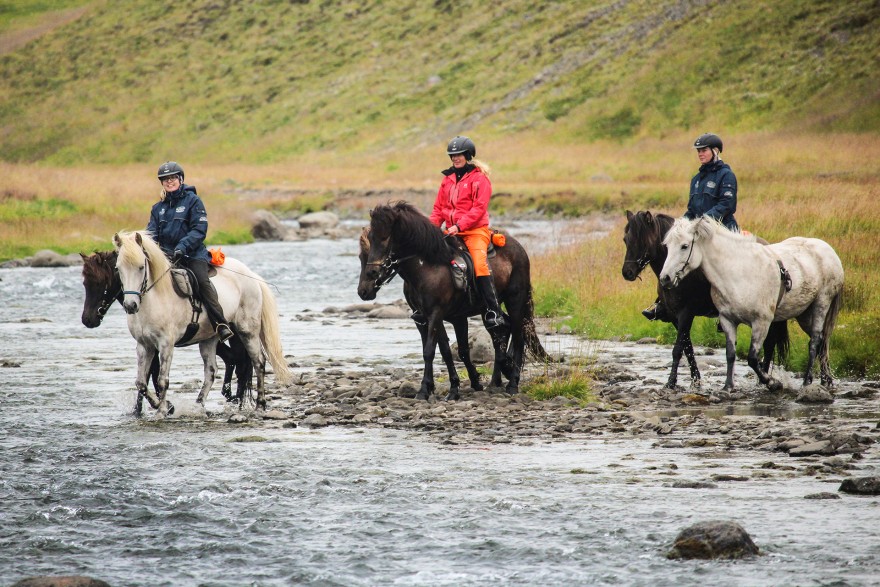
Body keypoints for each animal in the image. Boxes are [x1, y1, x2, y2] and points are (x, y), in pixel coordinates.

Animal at [80, 250, 253, 414]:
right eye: (85, 283)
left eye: (100, 283)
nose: (87, 320)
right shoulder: (149, 344)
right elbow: (147, 375)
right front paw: (142, 408)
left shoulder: (160, 345)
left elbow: (153, 374)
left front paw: (163, 405)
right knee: (232, 359)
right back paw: (230, 396)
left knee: (241, 363)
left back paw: (236, 401)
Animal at [113, 231, 291, 415]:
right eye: (118, 268)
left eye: (141, 267)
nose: (130, 305)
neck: (156, 299)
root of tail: (251, 275)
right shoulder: (144, 346)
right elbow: (141, 383)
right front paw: (162, 405)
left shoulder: (166, 344)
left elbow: (163, 380)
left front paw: (162, 410)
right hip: (209, 338)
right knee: (211, 371)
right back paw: (198, 405)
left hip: (247, 331)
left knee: (258, 362)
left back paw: (260, 404)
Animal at [357, 202, 548, 400]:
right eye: (361, 256)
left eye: (385, 237)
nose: (364, 289)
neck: (427, 267)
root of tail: (520, 249)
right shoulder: (426, 318)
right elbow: (449, 351)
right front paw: (461, 385)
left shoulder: (437, 314)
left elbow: (431, 351)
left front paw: (425, 390)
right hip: (487, 311)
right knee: (501, 333)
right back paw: (496, 380)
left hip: (515, 301)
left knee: (518, 337)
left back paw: (512, 383)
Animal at [621, 210, 788, 390]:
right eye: (626, 240)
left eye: (642, 240)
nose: (627, 272)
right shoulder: (675, 316)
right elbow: (687, 347)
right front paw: (696, 379)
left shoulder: (685, 313)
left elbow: (678, 349)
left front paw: (671, 382)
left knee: (769, 343)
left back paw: (763, 380)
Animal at [658, 217, 844, 391]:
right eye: (667, 246)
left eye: (684, 246)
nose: (665, 278)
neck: (739, 272)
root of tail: (829, 250)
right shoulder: (727, 320)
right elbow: (730, 354)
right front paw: (728, 386)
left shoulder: (761, 322)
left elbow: (753, 358)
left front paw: (772, 383)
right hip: (804, 314)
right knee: (822, 342)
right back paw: (825, 380)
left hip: (821, 304)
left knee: (814, 341)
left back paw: (806, 382)